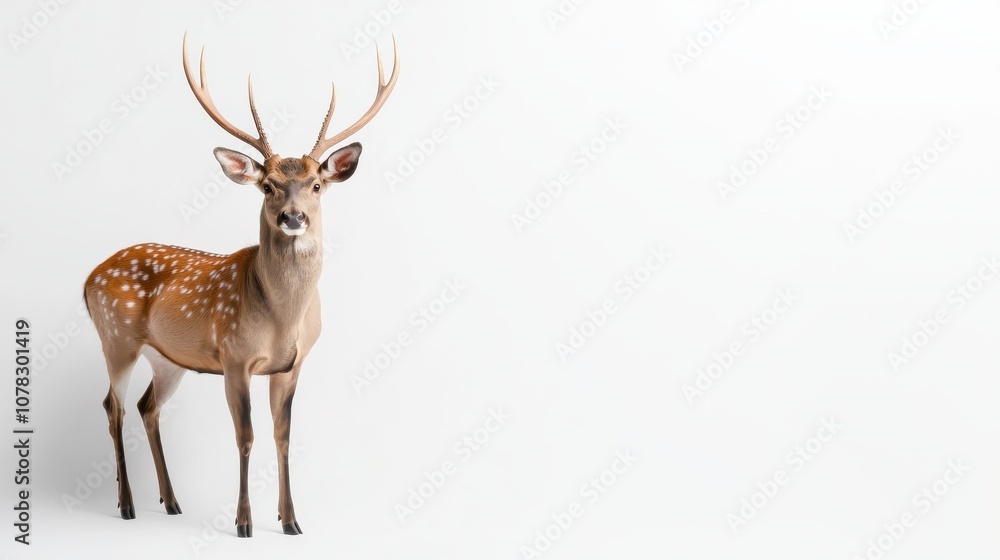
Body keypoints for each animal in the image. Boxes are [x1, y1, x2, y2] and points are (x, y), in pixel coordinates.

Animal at [82, 32, 398, 537]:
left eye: (316, 184)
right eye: (267, 186)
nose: (293, 217)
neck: (282, 319)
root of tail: (89, 278)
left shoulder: (292, 365)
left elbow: (283, 436)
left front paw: (291, 521)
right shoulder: (234, 357)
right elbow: (245, 437)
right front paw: (244, 522)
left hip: (167, 358)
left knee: (148, 407)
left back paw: (171, 501)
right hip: (116, 338)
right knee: (113, 406)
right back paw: (127, 504)